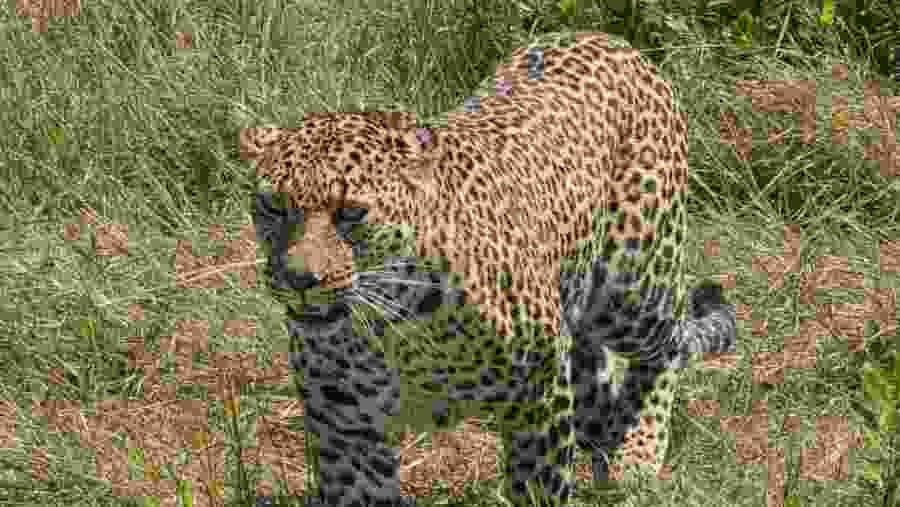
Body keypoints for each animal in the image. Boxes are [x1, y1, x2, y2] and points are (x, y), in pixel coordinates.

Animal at [242, 31, 737, 507]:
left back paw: (637, 453)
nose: (299, 279)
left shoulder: (540, 398)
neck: (396, 324)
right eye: (272, 205)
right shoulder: (347, 431)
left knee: (669, 340)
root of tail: (615, 42)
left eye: (351, 213)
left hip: (631, 285)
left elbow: (540, 487)